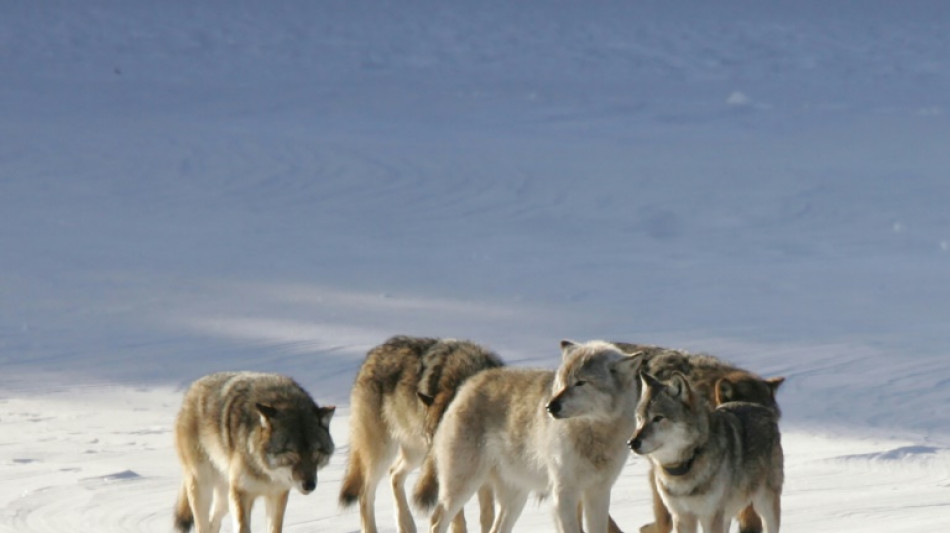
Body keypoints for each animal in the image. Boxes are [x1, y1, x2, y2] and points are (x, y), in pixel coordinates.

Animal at [173, 371, 335, 533]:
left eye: (315, 453)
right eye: (292, 453)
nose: (309, 485)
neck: (266, 472)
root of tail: (194, 387)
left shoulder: (277, 494)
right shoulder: (241, 494)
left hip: (224, 497)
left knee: (213, 522)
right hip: (204, 487)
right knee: (203, 525)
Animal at [339, 336, 504, 533]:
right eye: (433, 437)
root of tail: (371, 356)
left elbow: (487, 516)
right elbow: (458, 520)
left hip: (415, 454)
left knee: (394, 473)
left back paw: (406, 525)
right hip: (383, 453)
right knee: (365, 492)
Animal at [413, 340, 643, 533]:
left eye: (581, 382)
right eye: (561, 382)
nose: (551, 406)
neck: (594, 434)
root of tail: (467, 384)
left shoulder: (599, 493)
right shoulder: (564, 494)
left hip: (515, 498)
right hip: (463, 487)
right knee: (436, 521)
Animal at [612, 343, 783, 533]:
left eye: (658, 418)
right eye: (640, 418)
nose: (632, 443)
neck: (686, 464)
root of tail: (758, 409)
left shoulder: (711, 516)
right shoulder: (682, 515)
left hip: (763, 503)